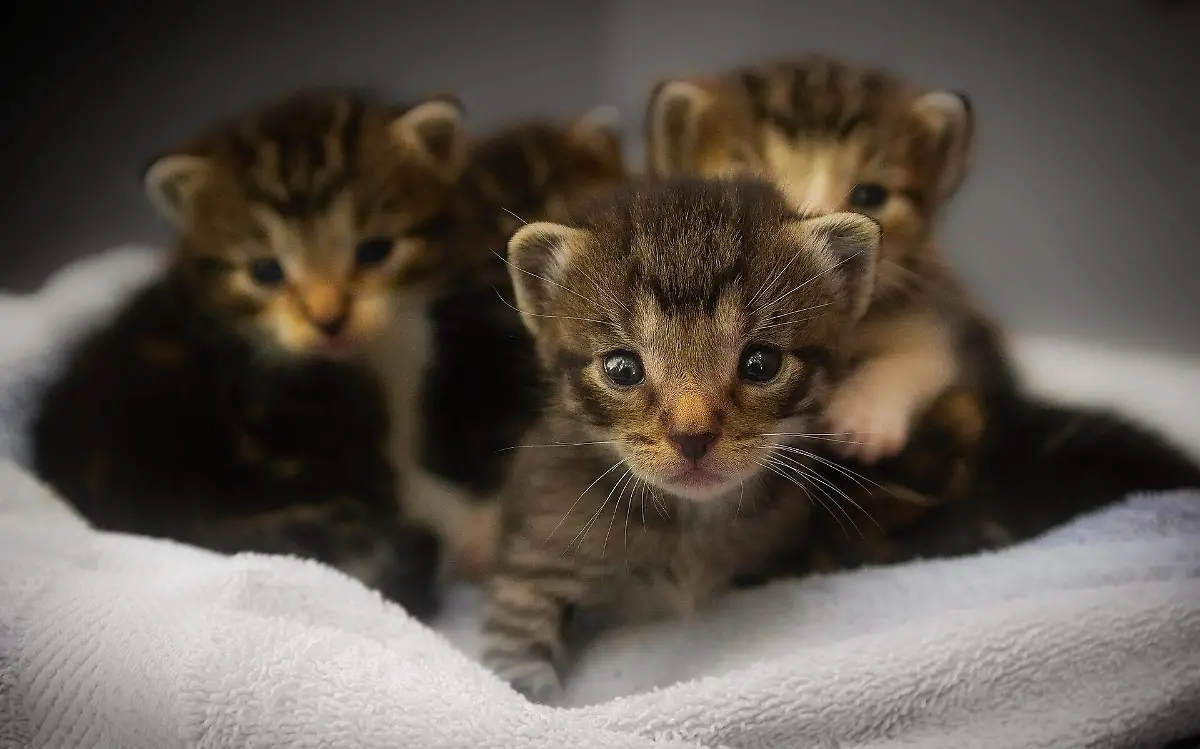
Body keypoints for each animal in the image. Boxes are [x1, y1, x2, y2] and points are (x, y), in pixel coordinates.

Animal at [482, 175, 888, 700]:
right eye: (622, 368)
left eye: (761, 364)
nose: (692, 437)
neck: (690, 526)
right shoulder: (535, 563)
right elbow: (517, 662)